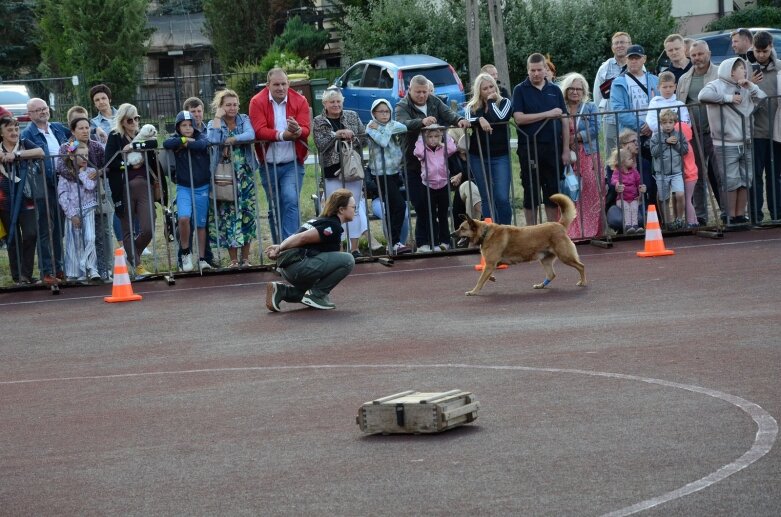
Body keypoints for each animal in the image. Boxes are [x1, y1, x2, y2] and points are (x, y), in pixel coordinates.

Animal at [450, 194, 584, 294]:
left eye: (462, 228)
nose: (451, 234)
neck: (485, 232)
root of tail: (559, 224)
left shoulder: (490, 264)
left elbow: (480, 280)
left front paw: (473, 291)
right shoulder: (491, 265)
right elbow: (484, 274)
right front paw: (491, 278)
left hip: (565, 256)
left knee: (581, 266)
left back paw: (583, 282)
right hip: (545, 259)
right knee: (552, 275)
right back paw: (540, 285)